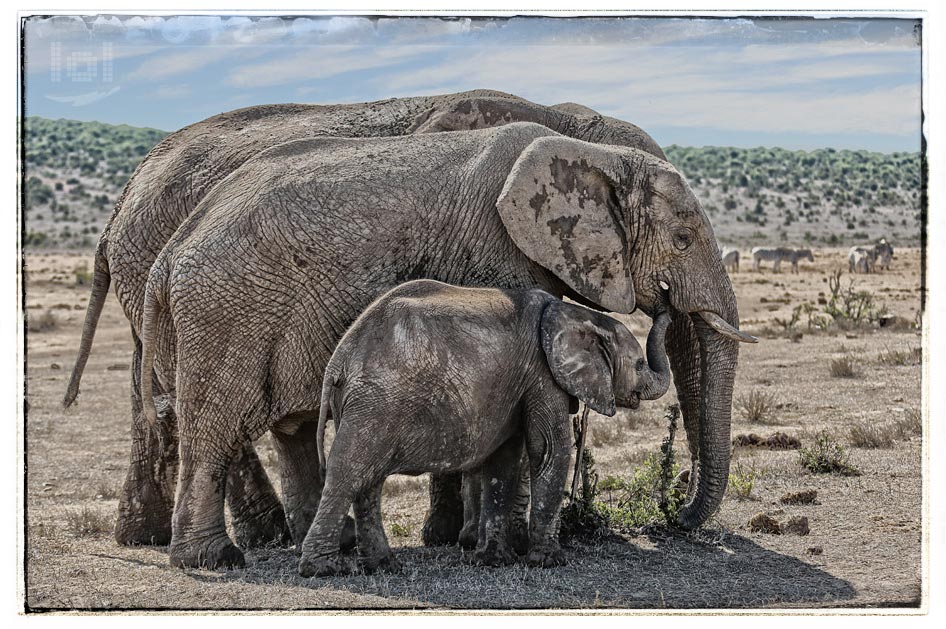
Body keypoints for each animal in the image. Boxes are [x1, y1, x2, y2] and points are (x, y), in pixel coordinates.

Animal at [296, 282, 672, 576]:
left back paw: (385, 566)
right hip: (375, 402)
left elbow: (503, 460)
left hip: (365, 404)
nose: (664, 295)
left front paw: (493, 559)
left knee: (369, 479)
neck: (571, 313)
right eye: (640, 364)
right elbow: (548, 449)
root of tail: (338, 361)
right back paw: (323, 569)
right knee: (349, 471)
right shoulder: (542, 374)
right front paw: (549, 561)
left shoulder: (515, 385)